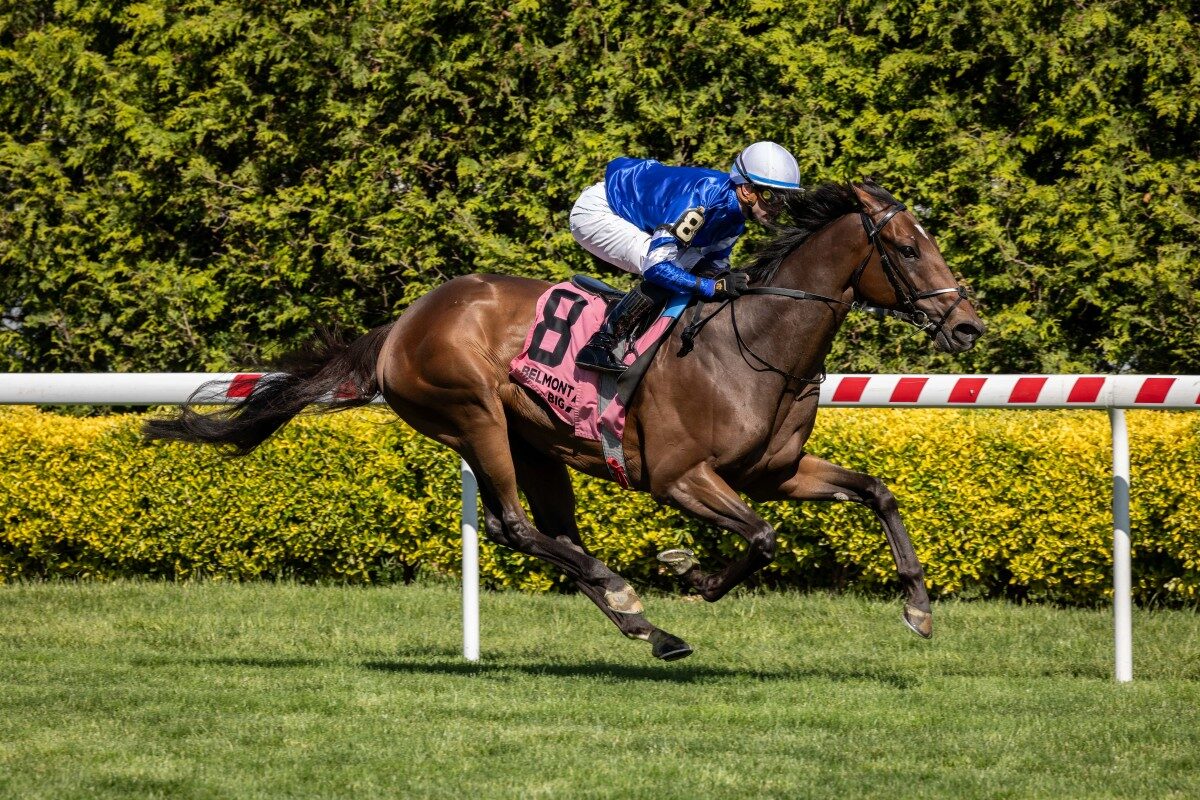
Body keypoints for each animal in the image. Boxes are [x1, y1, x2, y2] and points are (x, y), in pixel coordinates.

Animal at [142, 183, 984, 662]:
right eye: (907, 247)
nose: (969, 325)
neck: (756, 344)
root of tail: (403, 322)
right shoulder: (679, 477)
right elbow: (761, 539)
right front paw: (691, 573)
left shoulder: (772, 473)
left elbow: (875, 492)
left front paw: (917, 607)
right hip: (471, 416)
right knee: (518, 527)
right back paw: (630, 596)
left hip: (535, 440)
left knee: (550, 534)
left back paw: (644, 624)